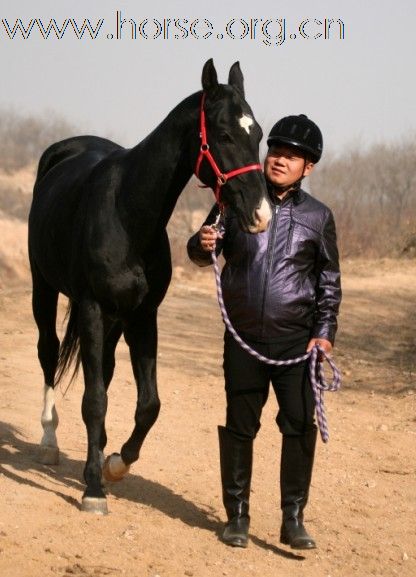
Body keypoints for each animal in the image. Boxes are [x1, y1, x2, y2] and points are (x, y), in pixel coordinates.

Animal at [27, 59, 272, 512]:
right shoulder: (91, 307)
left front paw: (114, 464)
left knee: (103, 370)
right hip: (45, 290)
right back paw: (49, 441)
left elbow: (148, 405)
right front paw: (93, 490)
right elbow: (94, 400)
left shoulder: (143, 316)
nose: (260, 213)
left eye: (259, 133)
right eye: (224, 134)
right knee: (49, 353)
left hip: (114, 319)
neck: (127, 212)